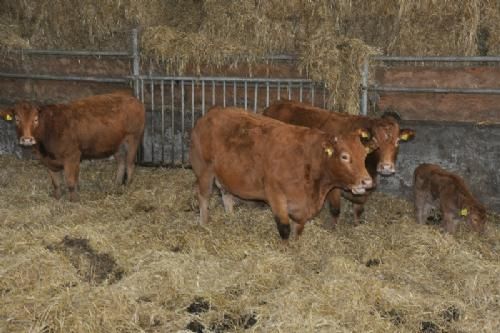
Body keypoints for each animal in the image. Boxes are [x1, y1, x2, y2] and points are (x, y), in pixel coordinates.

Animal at [0, 91, 146, 200]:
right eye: (17, 119)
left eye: (35, 119)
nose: (27, 139)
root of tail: (133, 99)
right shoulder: (48, 160)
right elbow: (56, 183)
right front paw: (57, 198)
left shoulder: (72, 156)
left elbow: (70, 182)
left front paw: (73, 200)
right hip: (116, 143)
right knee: (121, 162)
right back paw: (116, 184)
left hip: (133, 138)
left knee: (130, 163)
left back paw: (127, 186)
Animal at [189, 106, 374, 239]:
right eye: (344, 156)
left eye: (364, 155)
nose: (367, 181)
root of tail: (210, 114)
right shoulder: (275, 195)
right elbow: (284, 228)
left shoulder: (301, 206)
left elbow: (298, 229)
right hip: (204, 170)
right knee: (203, 196)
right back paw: (203, 223)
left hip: (225, 174)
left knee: (226, 194)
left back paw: (231, 218)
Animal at [264, 100, 416, 227]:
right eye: (375, 141)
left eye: (397, 141)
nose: (386, 167)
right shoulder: (333, 186)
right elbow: (335, 209)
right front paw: (333, 228)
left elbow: (358, 209)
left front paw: (357, 225)